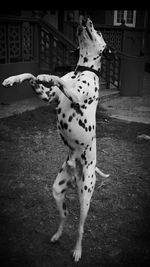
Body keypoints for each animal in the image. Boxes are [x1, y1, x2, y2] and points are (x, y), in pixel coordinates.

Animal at [2, 15, 112, 262]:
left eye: (99, 31)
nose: (85, 19)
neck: (81, 71)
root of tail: (76, 171)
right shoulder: (48, 96)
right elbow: (31, 76)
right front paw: (13, 79)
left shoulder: (77, 94)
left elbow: (57, 79)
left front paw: (47, 75)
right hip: (57, 192)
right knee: (64, 217)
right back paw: (57, 235)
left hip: (85, 196)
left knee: (80, 227)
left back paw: (77, 250)